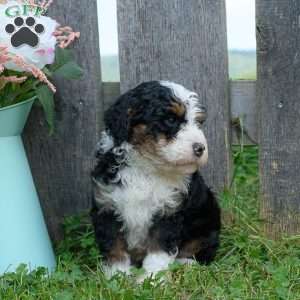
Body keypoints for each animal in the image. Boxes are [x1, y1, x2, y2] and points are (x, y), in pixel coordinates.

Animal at [91, 81, 220, 278]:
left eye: (198, 122)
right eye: (171, 120)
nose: (200, 148)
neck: (146, 168)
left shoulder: (169, 211)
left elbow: (158, 250)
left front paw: (152, 278)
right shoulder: (107, 206)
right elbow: (114, 246)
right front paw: (117, 276)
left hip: (207, 223)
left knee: (199, 248)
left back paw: (185, 264)